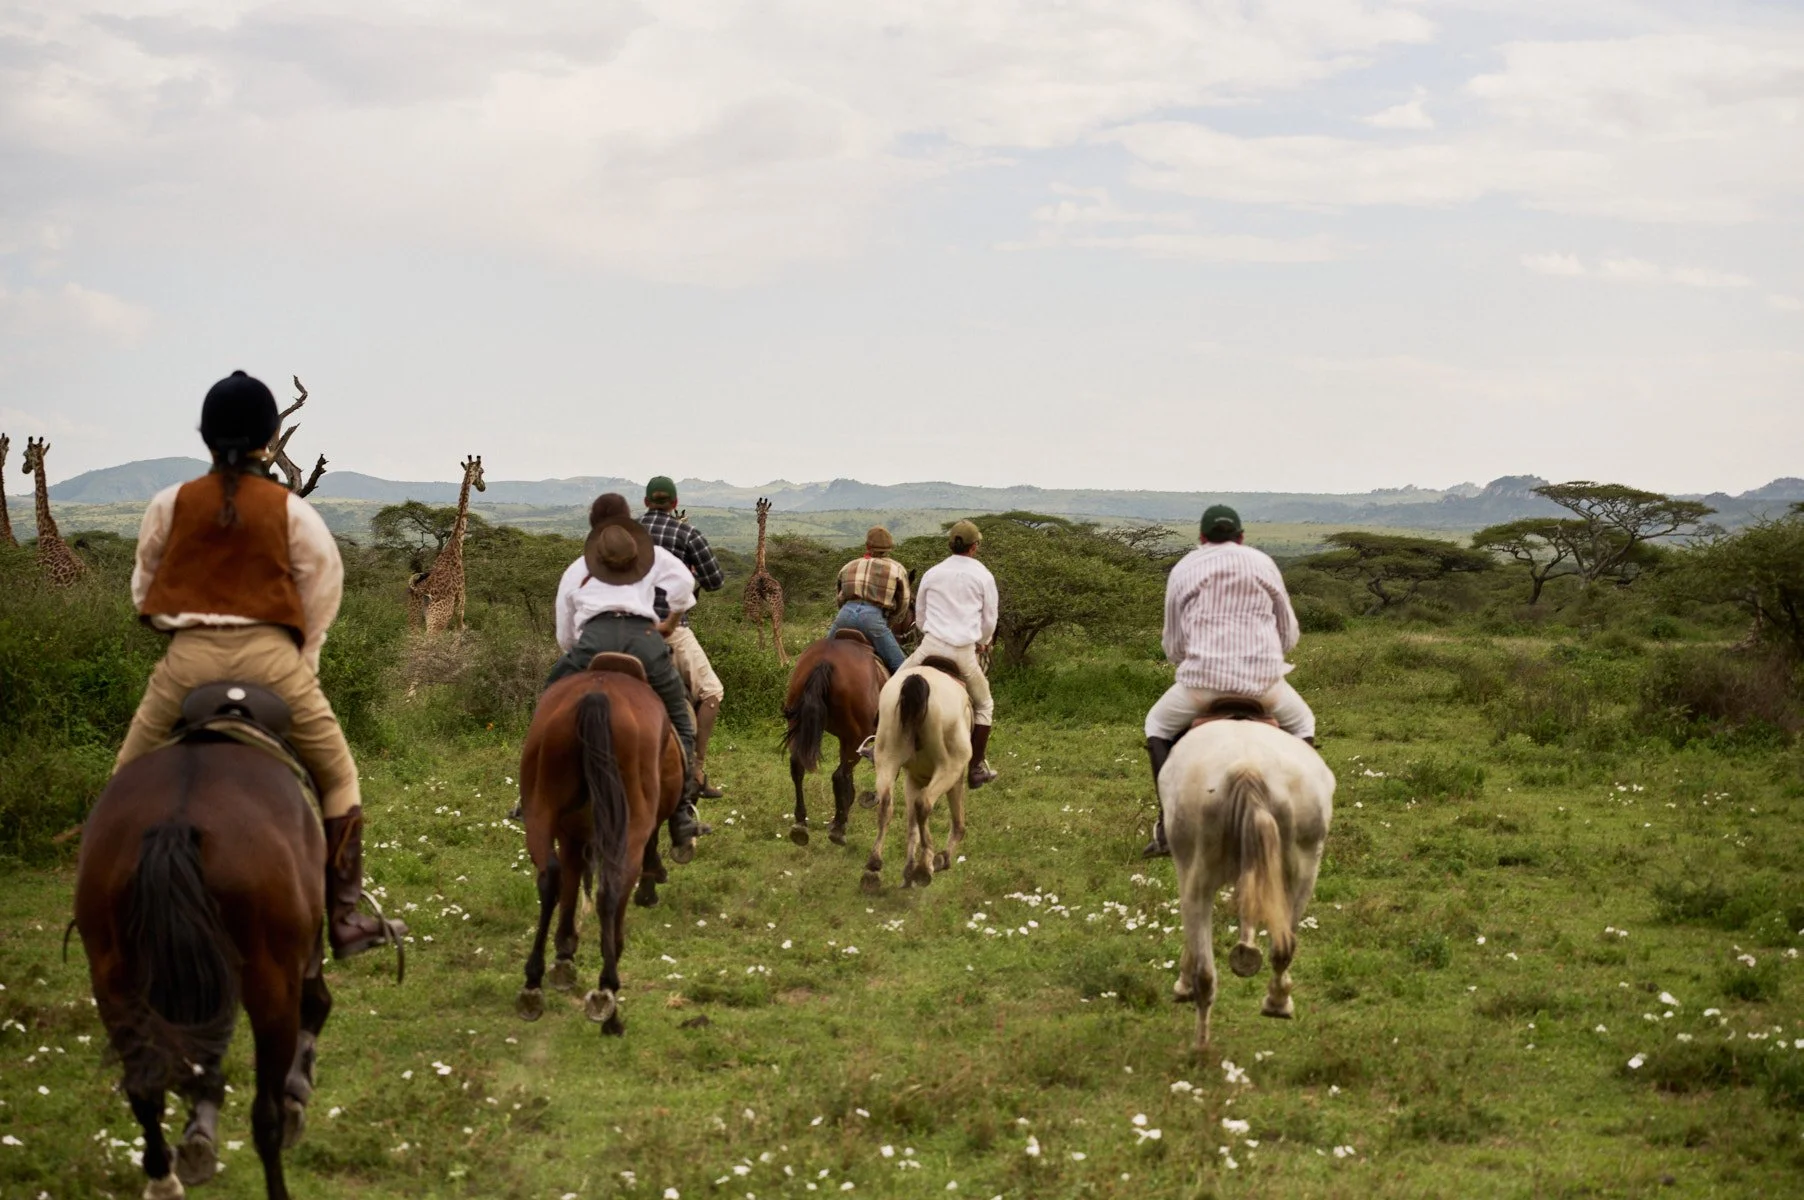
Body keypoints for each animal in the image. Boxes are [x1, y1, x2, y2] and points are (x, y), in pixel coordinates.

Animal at [75, 741, 332, 1200]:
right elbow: (316, 1004)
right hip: (270, 986)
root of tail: (175, 822)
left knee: (144, 1088)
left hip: (114, 982)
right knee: (265, 1114)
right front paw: (296, 1095)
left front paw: (199, 1135)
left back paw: (165, 1179)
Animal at [514, 654, 684, 1037]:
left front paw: (564, 956)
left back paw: (532, 986)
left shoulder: (571, 834)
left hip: (540, 806)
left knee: (551, 877)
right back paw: (608, 1000)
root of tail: (597, 696)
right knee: (613, 887)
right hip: (630, 823)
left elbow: (570, 881)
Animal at [781, 631, 886, 846]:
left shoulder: (845, 739)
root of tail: (825, 660)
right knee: (839, 775)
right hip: (857, 737)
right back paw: (838, 828)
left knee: (798, 767)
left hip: (798, 725)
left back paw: (800, 824)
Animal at [861, 659, 973, 893]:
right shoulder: (956, 776)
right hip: (949, 768)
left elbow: (912, 825)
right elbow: (957, 822)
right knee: (924, 804)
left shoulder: (912, 778)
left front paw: (908, 872)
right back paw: (924, 868)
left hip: (887, 758)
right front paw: (938, 860)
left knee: (886, 804)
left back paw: (874, 863)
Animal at [1160, 718, 1334, 1053]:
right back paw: (1275, 1004)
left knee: (1205, 969)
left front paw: (1182, 984)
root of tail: (1247, 769)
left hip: (1196, 871)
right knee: (1283, 945)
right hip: (1303, 869)